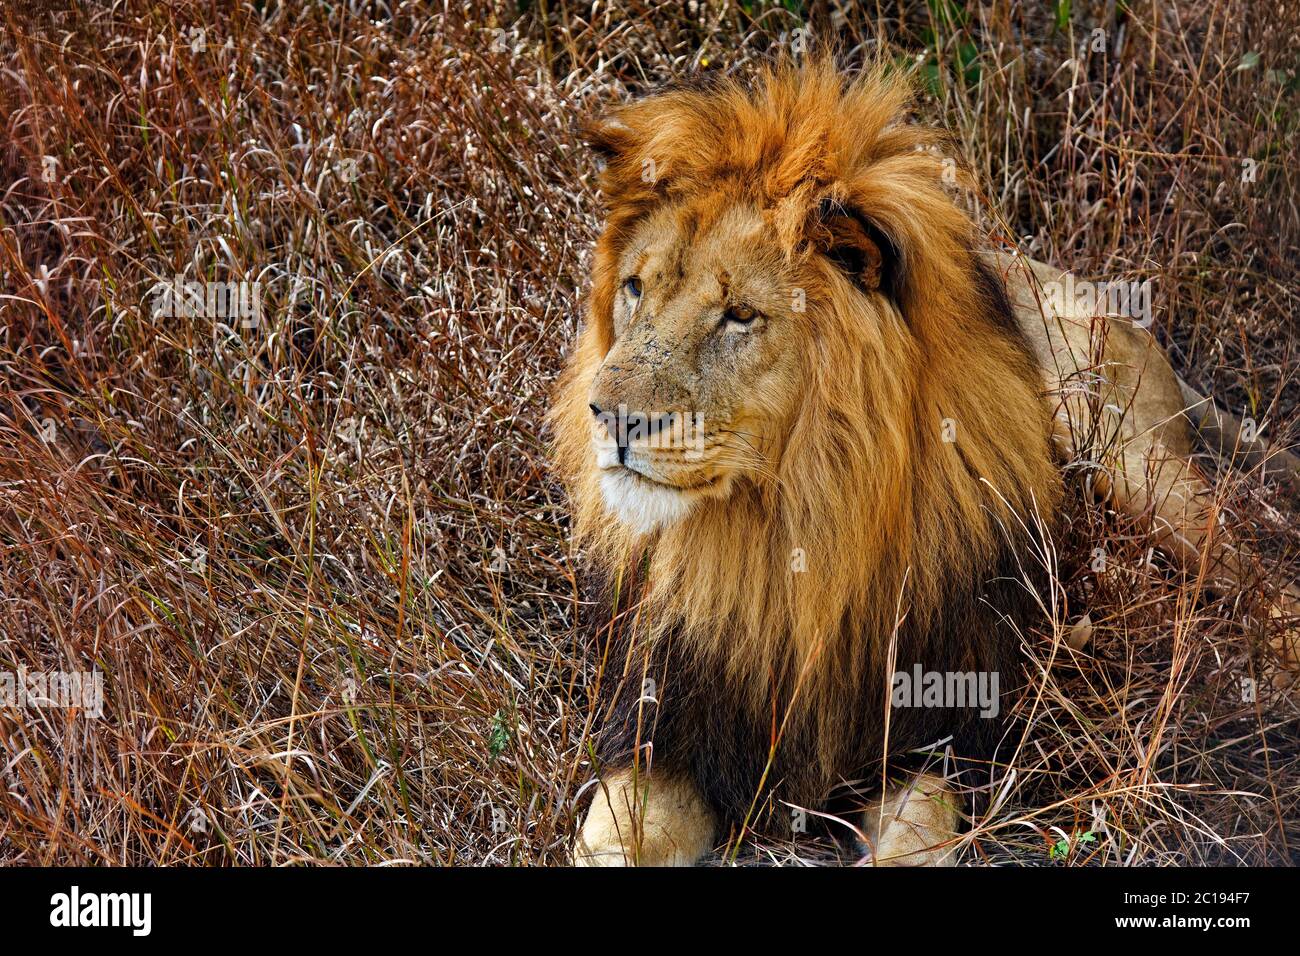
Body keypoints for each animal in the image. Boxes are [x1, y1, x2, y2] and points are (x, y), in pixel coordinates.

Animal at [548, 58, 1300, 867]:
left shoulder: (945, 735)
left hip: (1140, 475)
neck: (786, 533)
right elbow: (612, 839)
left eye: (740, 315)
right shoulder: (661, 733)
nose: (608, 416)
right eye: (636, 288)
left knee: (1260, 574)